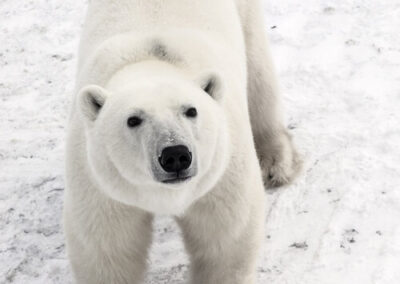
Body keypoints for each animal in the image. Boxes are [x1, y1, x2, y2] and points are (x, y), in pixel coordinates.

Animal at [63, 0, 300, 284]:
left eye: (191, 110)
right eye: (133, 120)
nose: (175, 155)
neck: (151, 60)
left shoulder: (220, 174)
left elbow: (225, 242)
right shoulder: (102, 185)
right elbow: (109, 253)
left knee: (258, 72)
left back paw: (274, 162)